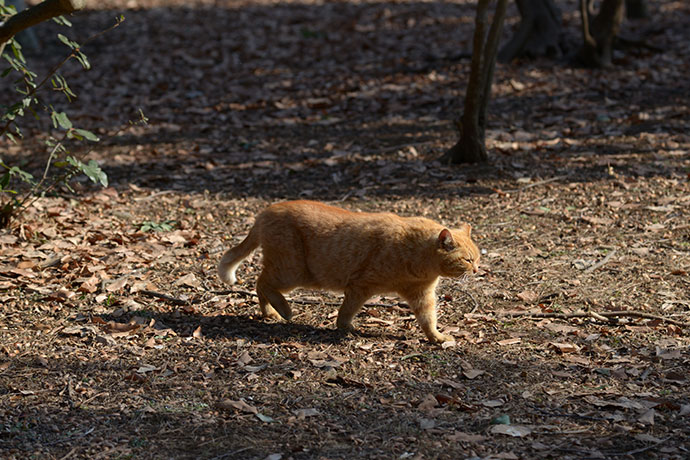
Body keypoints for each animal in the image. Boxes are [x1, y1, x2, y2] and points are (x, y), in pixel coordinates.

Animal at [220, 200, 478, 342]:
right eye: (467, 260)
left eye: (477, 259)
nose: (477, 270)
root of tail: (265, 211)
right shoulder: (359, 286)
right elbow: (347, 311)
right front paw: (344, 328)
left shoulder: (421, 295)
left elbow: (428, 319)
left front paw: (436, 338)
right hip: (292, 272)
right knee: (262, 282)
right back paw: (284, 310)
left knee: (260, 283)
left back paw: (269, 313)